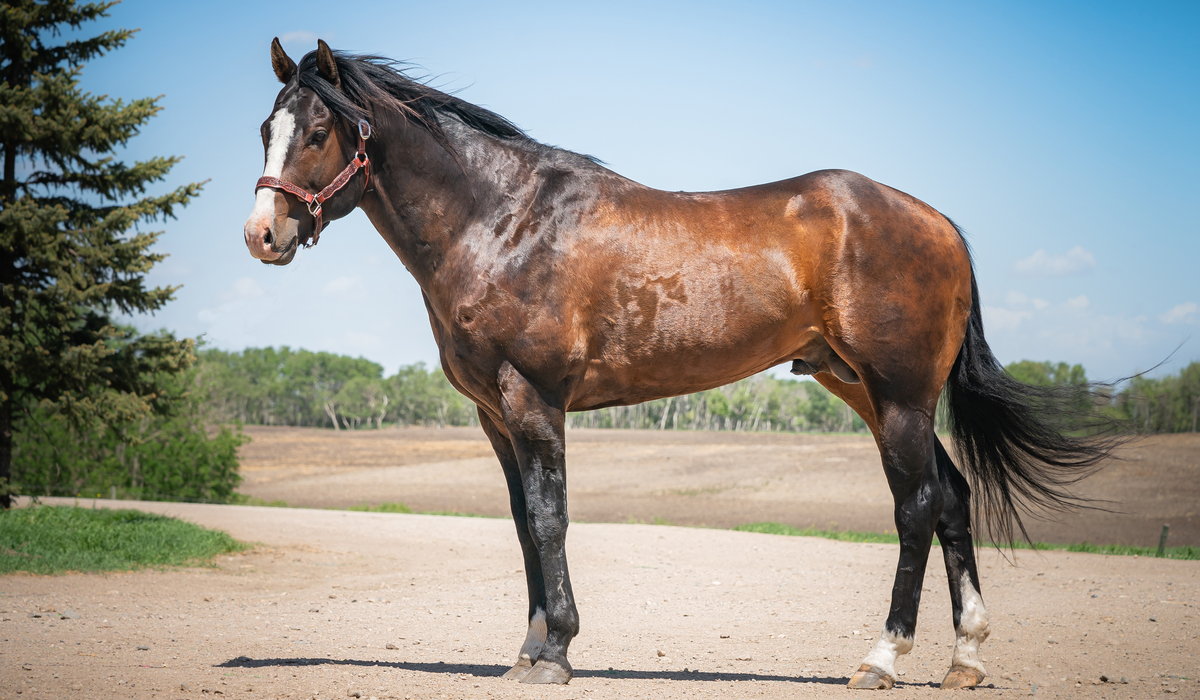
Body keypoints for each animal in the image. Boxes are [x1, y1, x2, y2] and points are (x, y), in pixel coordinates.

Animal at [241, 39, 1113, 691]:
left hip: (898, 396)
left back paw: (881, 658)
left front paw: (557, 652)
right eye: (264, 128)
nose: (261, 235)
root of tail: (939, 223)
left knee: (917, 507)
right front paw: (526, 651)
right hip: (866, 390)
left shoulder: (534, 401)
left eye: (317, 132)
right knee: (954, 499)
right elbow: (524, 523)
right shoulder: (493, 416)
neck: (501, 221)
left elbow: (551, 519)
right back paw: (965, 658)